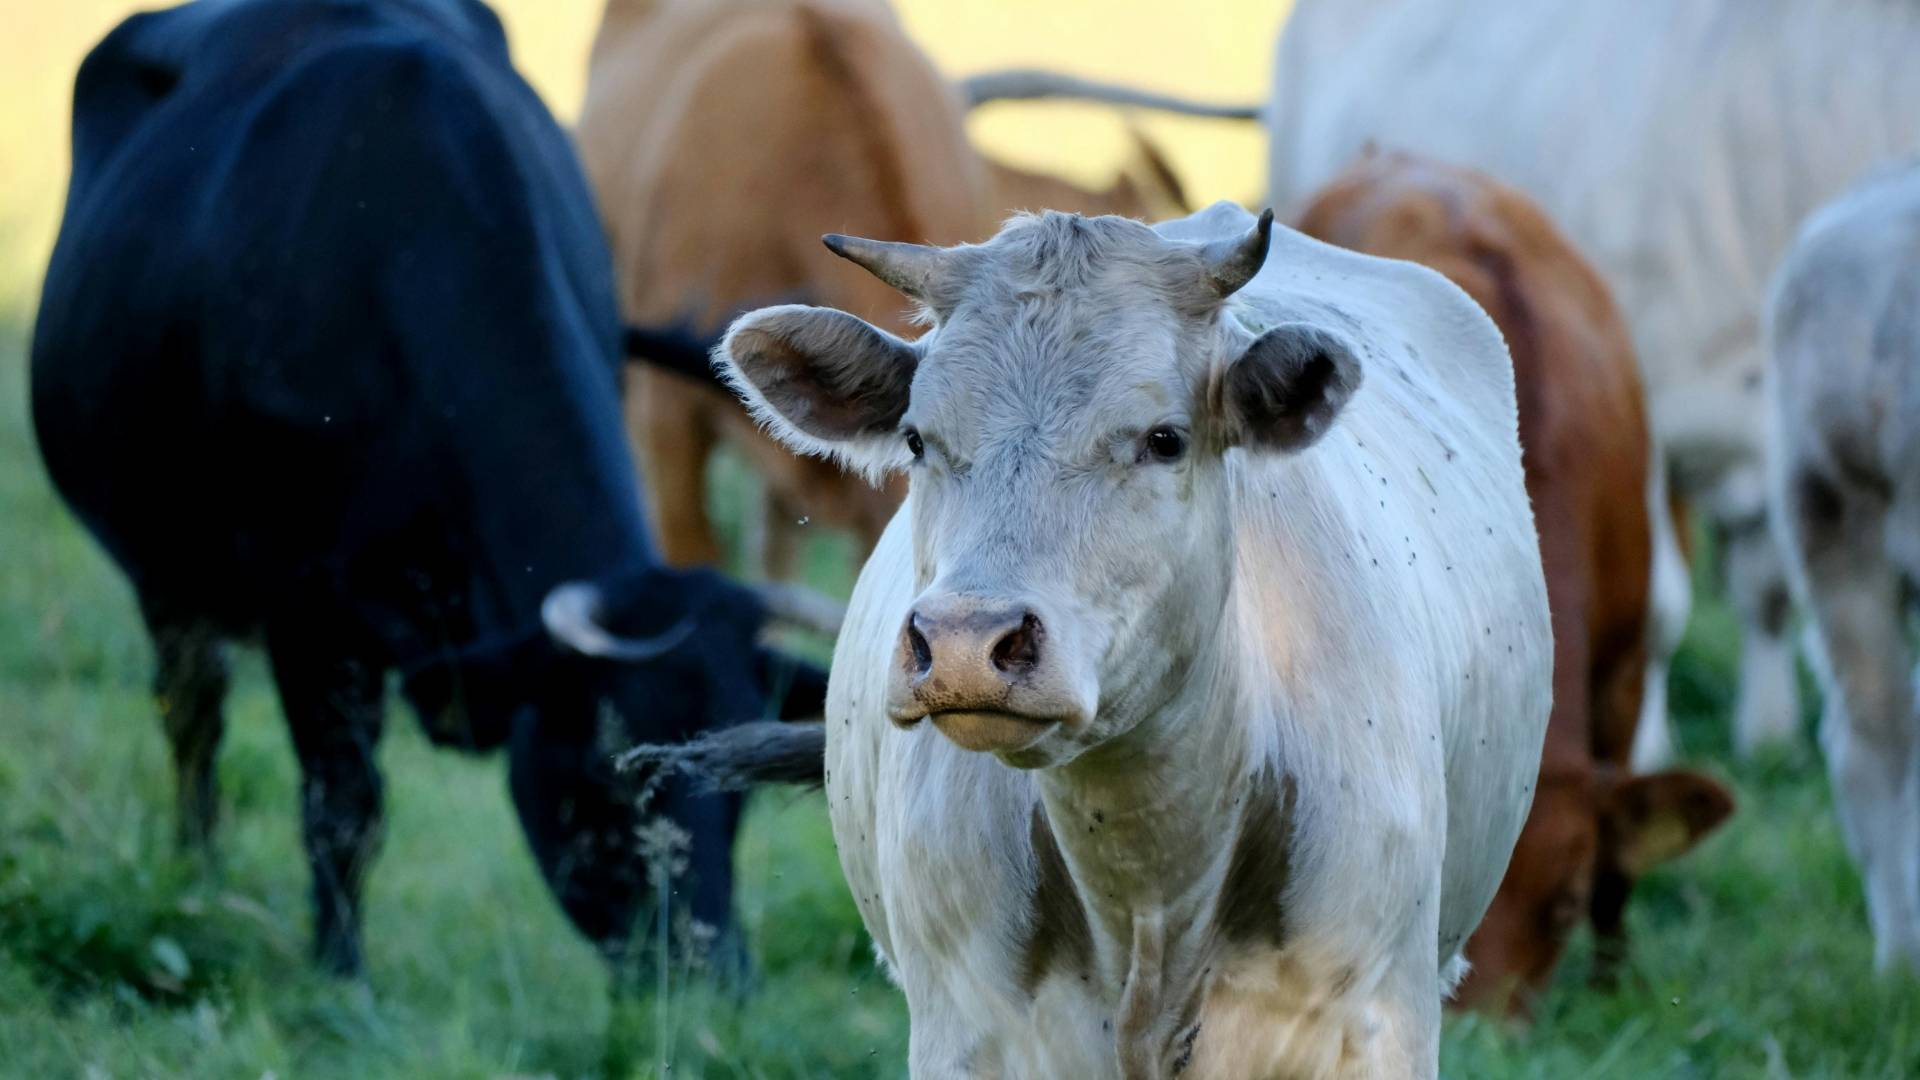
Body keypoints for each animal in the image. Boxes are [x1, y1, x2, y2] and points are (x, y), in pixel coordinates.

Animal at [29, 0, 826, 978]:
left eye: (737, 785)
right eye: (600, 776)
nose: (713, 976)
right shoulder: (308, 613)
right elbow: (343, 807)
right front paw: (339, 976)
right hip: (170, 576)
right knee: (193, 720)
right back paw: (197, 874)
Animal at [709, 202, 1553, 1077]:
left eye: (1163, 439)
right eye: (915, 439)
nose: (966, 642)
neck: (1150, 882)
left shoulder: (1375, 1022)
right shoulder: (966, 1028)